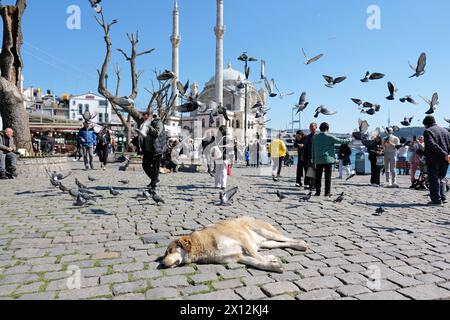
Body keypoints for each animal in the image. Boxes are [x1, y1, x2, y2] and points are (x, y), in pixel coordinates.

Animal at [163, 215, 310, 272]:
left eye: (171, 250)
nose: (163, 264)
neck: (201, 246)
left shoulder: (242, 240)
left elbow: (257, 257)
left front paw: (270, 263)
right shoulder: (238, 257)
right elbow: (257, 262)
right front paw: (272, 265)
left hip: (265, 232)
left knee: (287, 238)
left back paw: (301, 243)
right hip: (267, 243)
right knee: (279, 243)